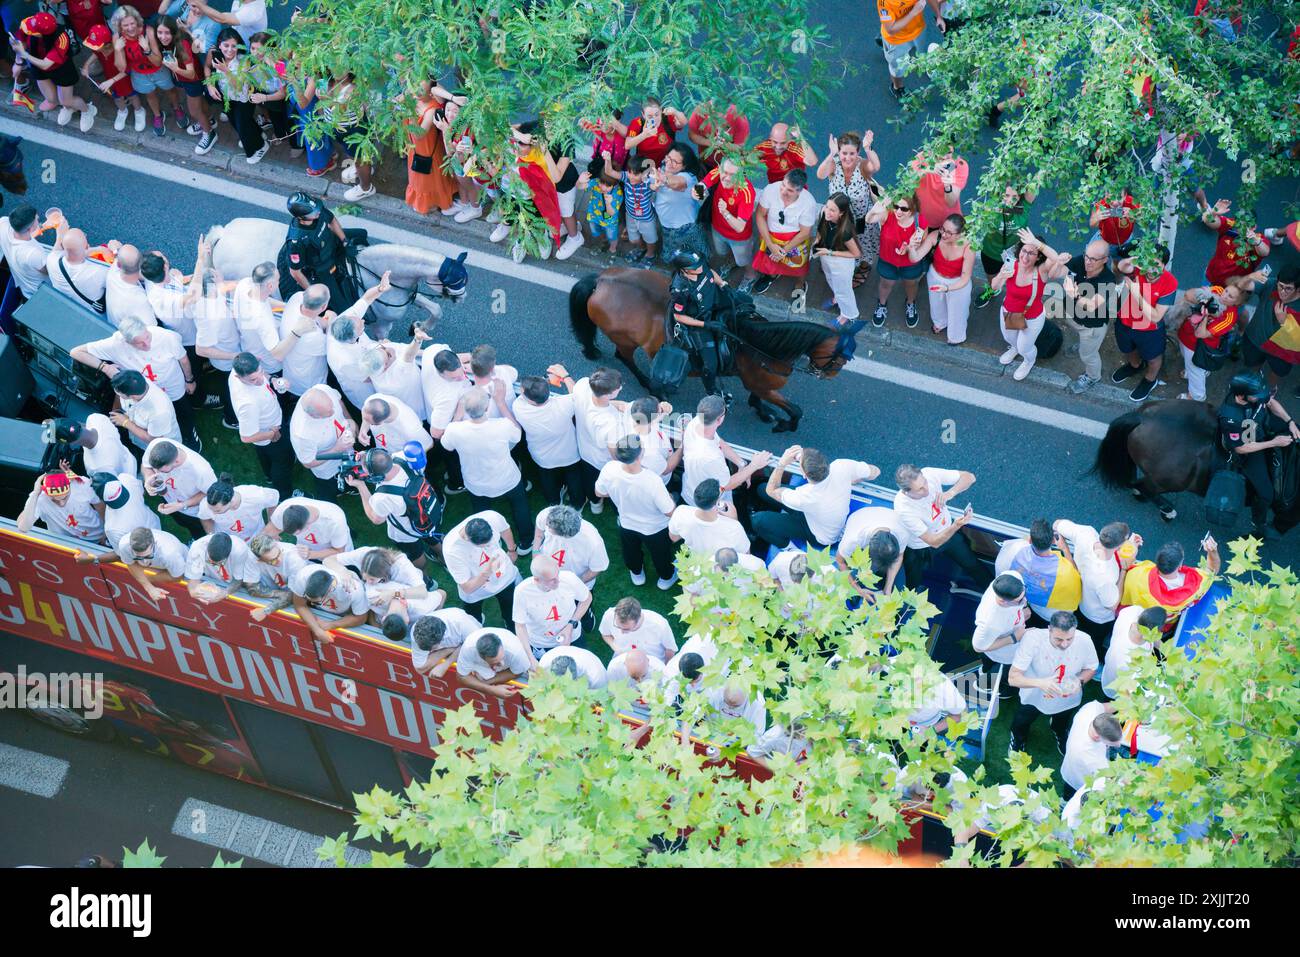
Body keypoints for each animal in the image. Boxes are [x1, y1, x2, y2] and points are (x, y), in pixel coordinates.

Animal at [202, 217, 467, 340]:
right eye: (456, 282)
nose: (462, 299)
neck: (375, 272)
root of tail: (223, 233)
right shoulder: (381, 325)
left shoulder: (406, 295)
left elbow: (434, 308)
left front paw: (420, 326)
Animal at [566, 269, 842, 434]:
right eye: (839, 358)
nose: (831, 375)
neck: (755, 343)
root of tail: (601, 281)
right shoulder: (761, 384)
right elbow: (796, 410)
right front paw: (785, 424)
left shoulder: (757, 383)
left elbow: (757, 398)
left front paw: (765, 413)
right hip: (625, 340)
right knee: (623, 357)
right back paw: (651, 385)